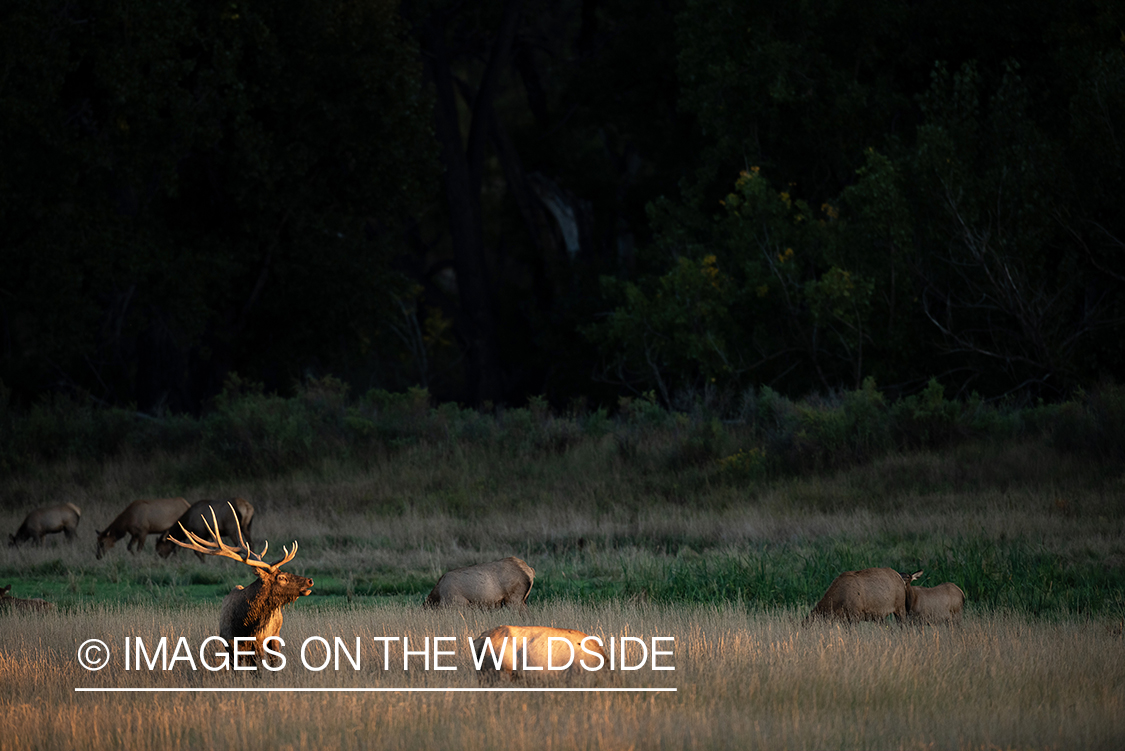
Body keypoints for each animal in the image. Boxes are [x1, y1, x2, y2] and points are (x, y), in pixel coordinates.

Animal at [171, 501, 312, 665]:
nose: (309, 580)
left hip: (275, 635)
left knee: (275, 660)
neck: (244, 628)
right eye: (281, 577)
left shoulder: (258, 643)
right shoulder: (230, 646)